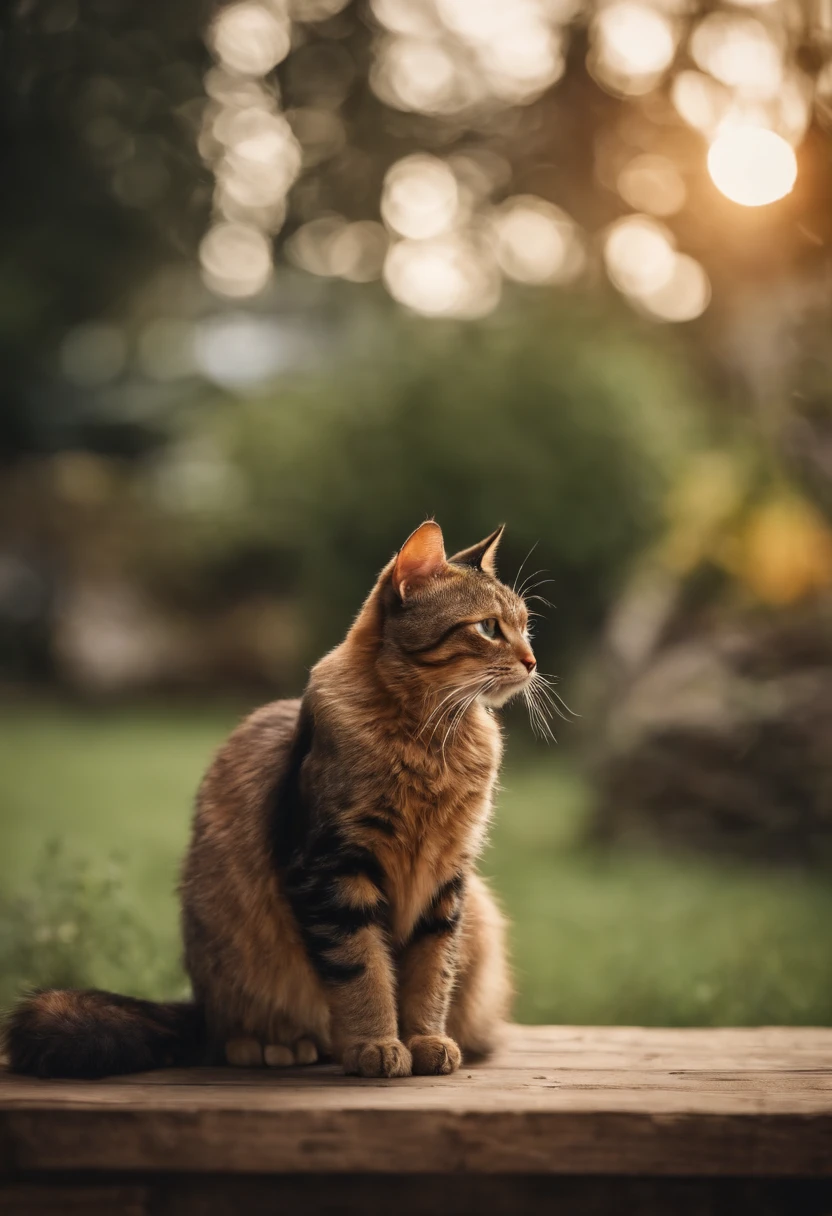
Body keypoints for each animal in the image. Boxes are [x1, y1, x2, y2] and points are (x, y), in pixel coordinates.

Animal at [6, 518, 542, 1079]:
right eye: (488, 629)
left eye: (526, 625)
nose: (532, 660)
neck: (430, 739)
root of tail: (200, 1008)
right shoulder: (332, 871)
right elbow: (365, 972)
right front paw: (376, 1044)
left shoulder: (447, 884)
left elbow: (431, 976)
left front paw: (425, 1040)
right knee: (232, 1034)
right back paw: (275, 1045)